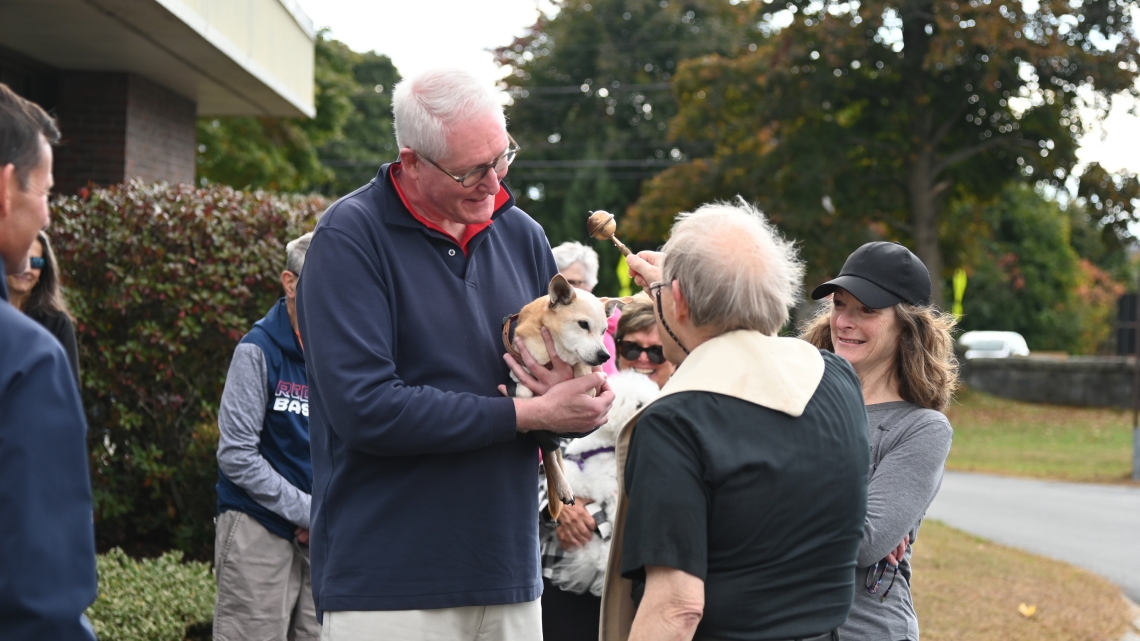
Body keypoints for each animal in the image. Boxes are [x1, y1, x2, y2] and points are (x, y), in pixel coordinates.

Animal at [506, 273, 629, 520]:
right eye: (583, 325)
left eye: (604, 331)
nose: (605, 355)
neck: (553, 350)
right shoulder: (518, 368)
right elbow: (524, 388)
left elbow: (584, 373)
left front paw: (584, 380)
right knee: (550, 455)